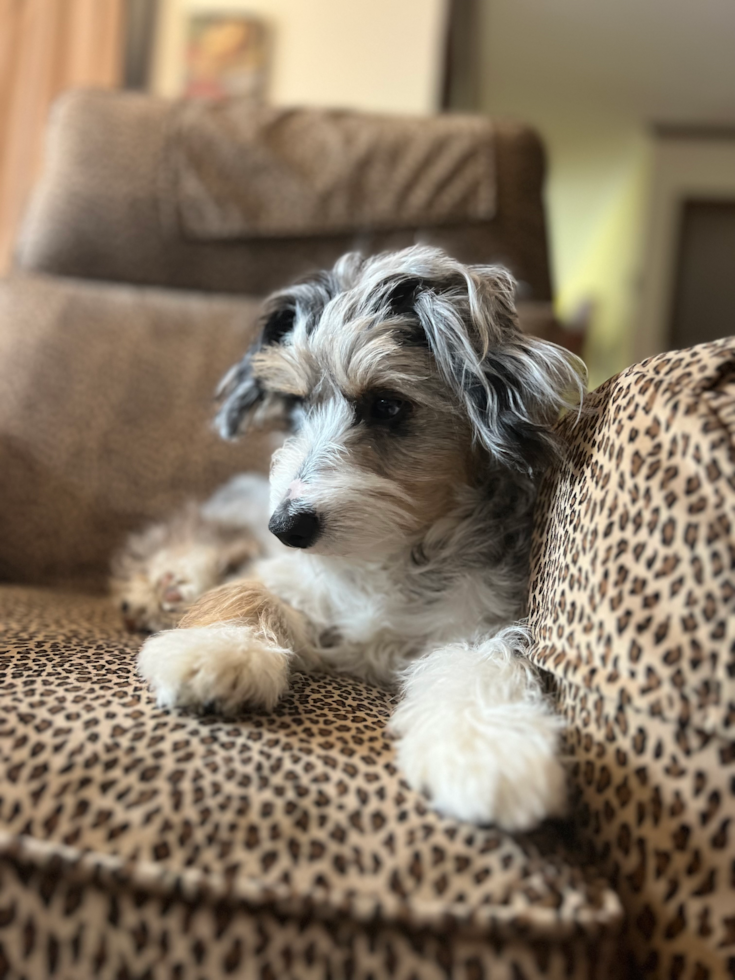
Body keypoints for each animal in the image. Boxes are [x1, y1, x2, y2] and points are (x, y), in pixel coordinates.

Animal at [113, 243, 588, 828]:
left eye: (387, 405)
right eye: (296, 405)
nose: (286, 526)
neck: (388, 554)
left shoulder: (480, 621)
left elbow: (479, 665)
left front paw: (488, 749)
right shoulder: (288, 570)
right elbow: (251, 591)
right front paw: (214, 650)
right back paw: (164, 584)